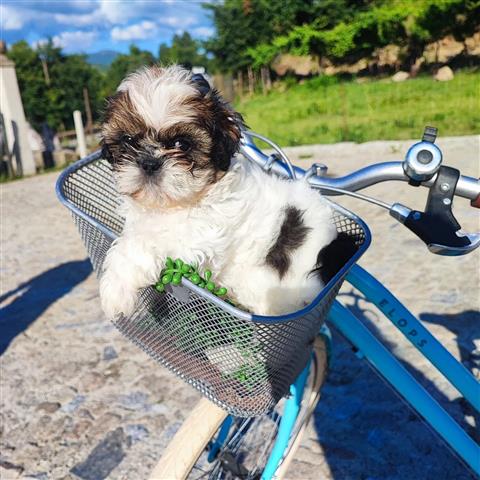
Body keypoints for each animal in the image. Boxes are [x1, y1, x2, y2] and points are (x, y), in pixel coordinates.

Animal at [100, 63, 356, 318]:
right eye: (128, 140)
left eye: (182, 144)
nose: (149, 163)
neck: (176, 204)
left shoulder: (201, 234)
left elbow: (143, 243)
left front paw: (115, 290)